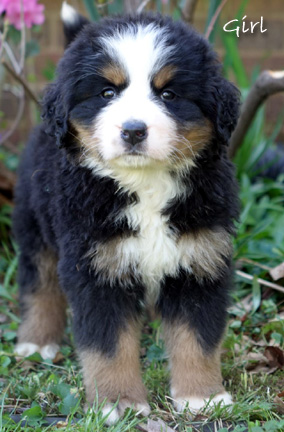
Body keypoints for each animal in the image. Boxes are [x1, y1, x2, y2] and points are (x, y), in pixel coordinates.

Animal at [13, 1, 240, 424]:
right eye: (107, 92)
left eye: (168, 93)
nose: (134, 130)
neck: (145, 185)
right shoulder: (94, 268)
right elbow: (109, 346)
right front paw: (118, 403)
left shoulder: (200, 261)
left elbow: (197, 337)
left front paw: (201, 397)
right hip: (35, 223)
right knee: (40, 282)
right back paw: (36, 342)